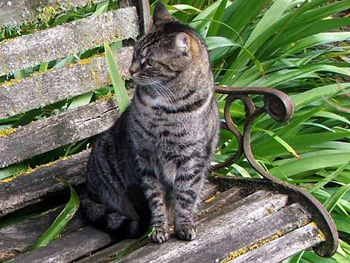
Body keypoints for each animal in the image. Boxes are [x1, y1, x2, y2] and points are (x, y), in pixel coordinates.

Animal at [81, 1, 219, 245]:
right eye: (134, 54)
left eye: (151, 62)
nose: (131, 70)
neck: (164, 109)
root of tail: (86, 192)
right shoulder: (145, 157)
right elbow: (155, 199)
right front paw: (159, 229)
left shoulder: (192, 159)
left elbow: (185, 196)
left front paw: (184, 225)